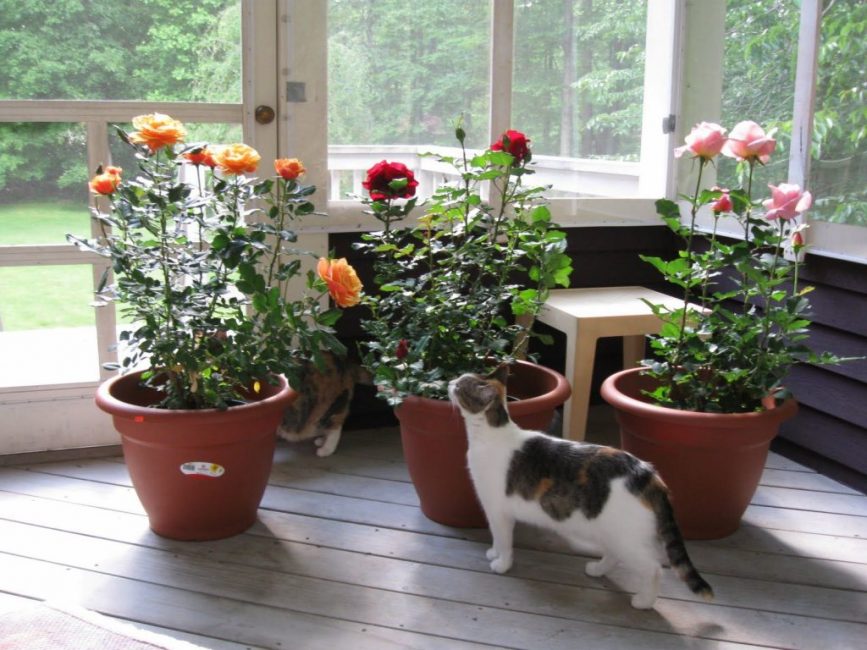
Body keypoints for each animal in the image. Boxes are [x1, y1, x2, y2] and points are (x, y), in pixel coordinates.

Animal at [448, 368, 712, 612]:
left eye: (460, 386)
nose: (450, 381)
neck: (489, 434)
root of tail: (647, 473)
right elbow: (495, 537)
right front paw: (493, 553)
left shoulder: (497, 510)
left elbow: (502, 539)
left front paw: (501, 563)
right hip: (612, 531)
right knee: (615, 554)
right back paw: (598, 569)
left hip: (628, 538)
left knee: (654, 569)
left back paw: (644, 601)